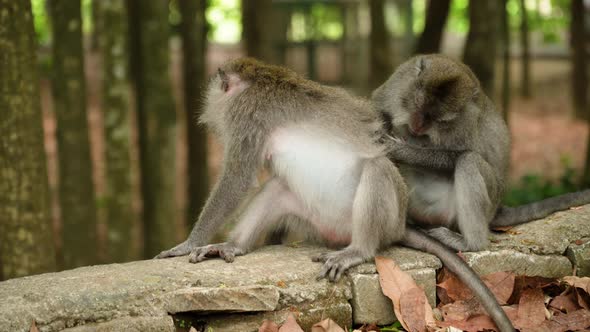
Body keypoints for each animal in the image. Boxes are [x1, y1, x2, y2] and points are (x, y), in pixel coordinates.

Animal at [156, 59, 512, 332]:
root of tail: (401, 225)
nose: (207, 104)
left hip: (388, 217)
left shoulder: (247, 115)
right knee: (277, 188)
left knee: (376, 169)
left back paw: (358, 250)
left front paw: (188, 242)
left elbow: (237, 178)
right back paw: (234, 246)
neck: (260, 79)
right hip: (315, 217)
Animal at [374, 53, 590, 253]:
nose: (418, 126)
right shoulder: (398, 82)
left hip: (488, 198)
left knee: (469, 160)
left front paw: (402, 151)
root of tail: (496, 208)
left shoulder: (467, 121)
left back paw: (470, 243)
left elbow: (459, 154)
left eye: (440, 120)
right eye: (419, 105)